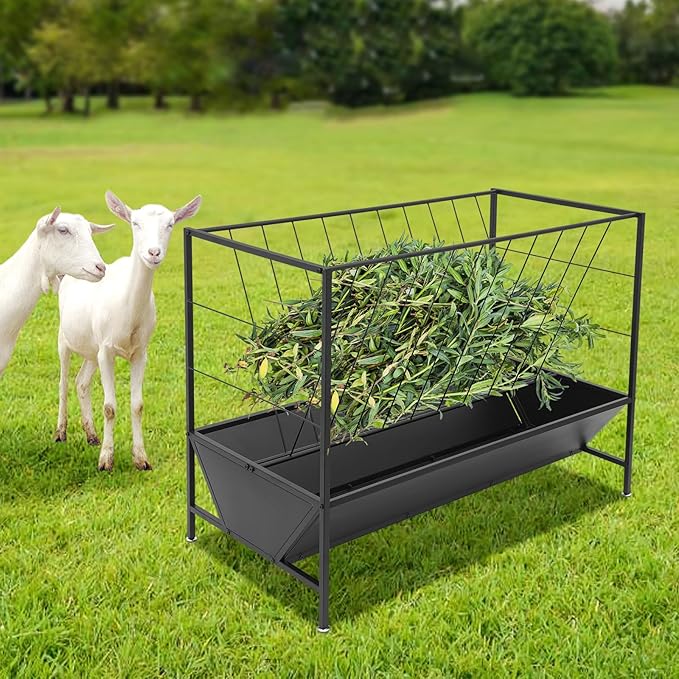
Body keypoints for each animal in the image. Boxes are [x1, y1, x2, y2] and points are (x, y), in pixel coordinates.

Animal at [55, 191, 202, 470]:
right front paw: (106, 461)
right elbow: (110, 407)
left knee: (81, 382)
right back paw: (61, 433)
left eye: (170, 224)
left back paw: (91, 435)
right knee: (64, 381)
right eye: (135, 223)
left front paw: (141, 459)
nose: (153, 252)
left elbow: (138, 405)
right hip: (64, 338)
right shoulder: (106, 349)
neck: (127, 312)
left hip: (91, 348)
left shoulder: (140, 351)